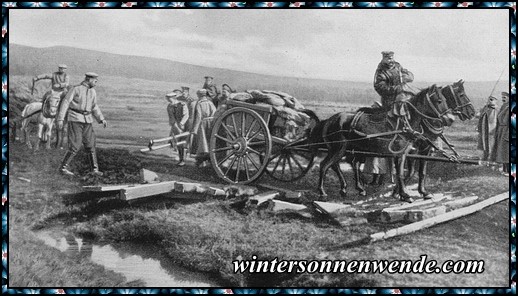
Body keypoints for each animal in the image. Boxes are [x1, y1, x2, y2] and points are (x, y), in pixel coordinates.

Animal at [308, 80, 476, 202]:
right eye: (439, 100)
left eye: (446, 100)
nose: (449, 119)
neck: (408, 122)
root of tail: (330, 119)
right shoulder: (404, 153)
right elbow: (402, 173)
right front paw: (404, 195)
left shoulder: (416, 151)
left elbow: (419, 172)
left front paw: (413, 192)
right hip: (339, 149)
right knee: (325, 165)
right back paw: (323, 192)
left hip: (347, 149)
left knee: (342, 164)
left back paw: (351, 189)